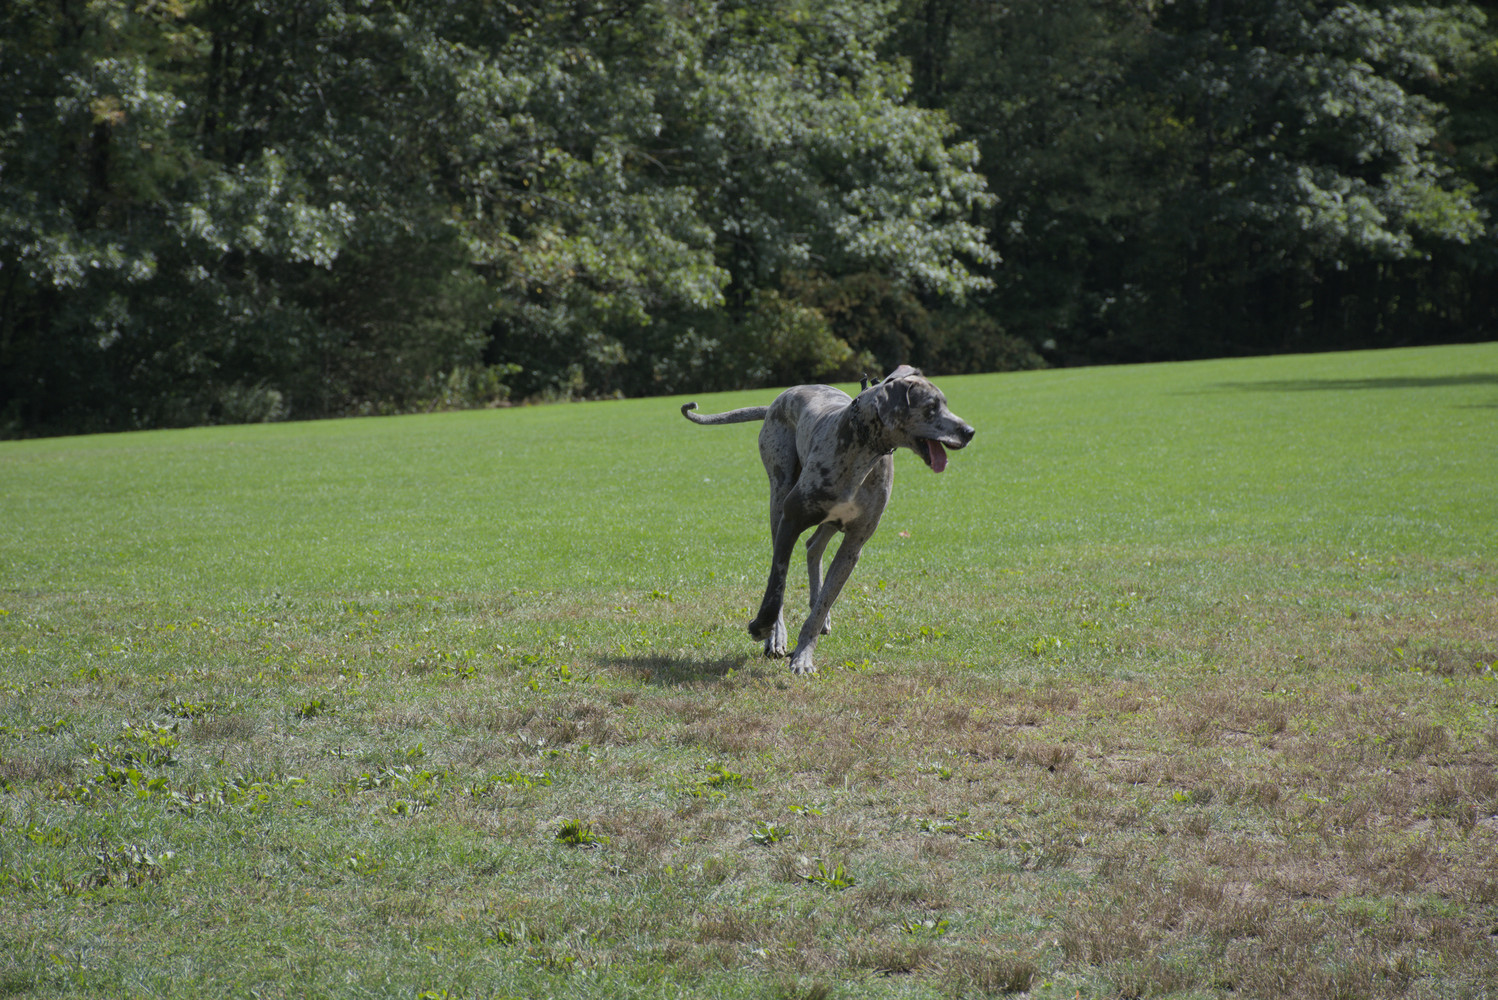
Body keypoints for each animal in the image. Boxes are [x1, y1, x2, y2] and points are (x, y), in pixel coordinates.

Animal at [681, 366, 974, 674]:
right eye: (931, 407)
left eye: (945, 404)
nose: (969, 432)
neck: (862, 449)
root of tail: (778, 399)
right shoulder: (791, 521)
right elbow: (776, 587)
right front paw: (764, 628)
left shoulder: (853, 545)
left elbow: (822, 604)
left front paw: (803, 655)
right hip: (779, 493)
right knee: (784, 558)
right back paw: (776, 636)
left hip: (830, 522)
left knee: (813, 547)